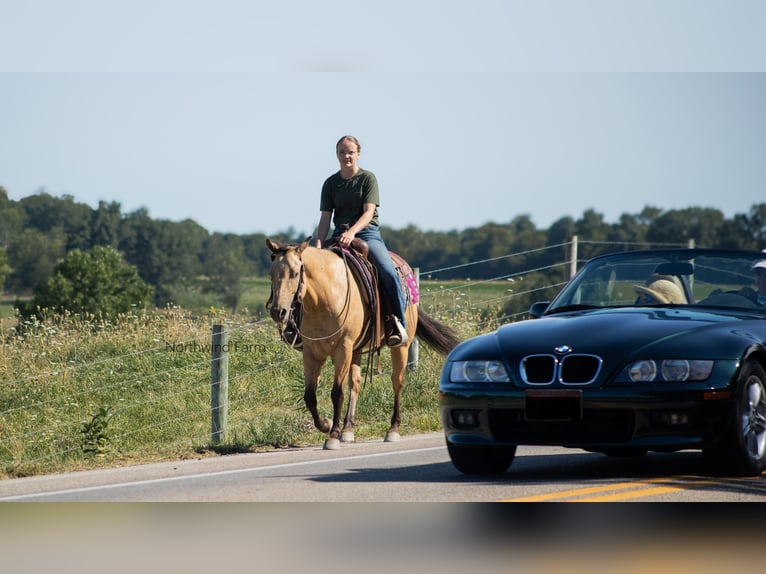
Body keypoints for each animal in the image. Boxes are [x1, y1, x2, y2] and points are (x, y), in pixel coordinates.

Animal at [268, 237, 462, 450]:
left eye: (295, 274)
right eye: (271, 274)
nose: (278, 312)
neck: (325, 298)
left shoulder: (343, 348)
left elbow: (337, 392)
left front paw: (332, 435)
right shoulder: (312, 352)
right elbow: (310, 396)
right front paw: (327, 424)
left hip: (400, 346)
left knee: (397, 382)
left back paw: (392, 429)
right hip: (357, 350)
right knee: (356, 383)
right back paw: (348, 429)